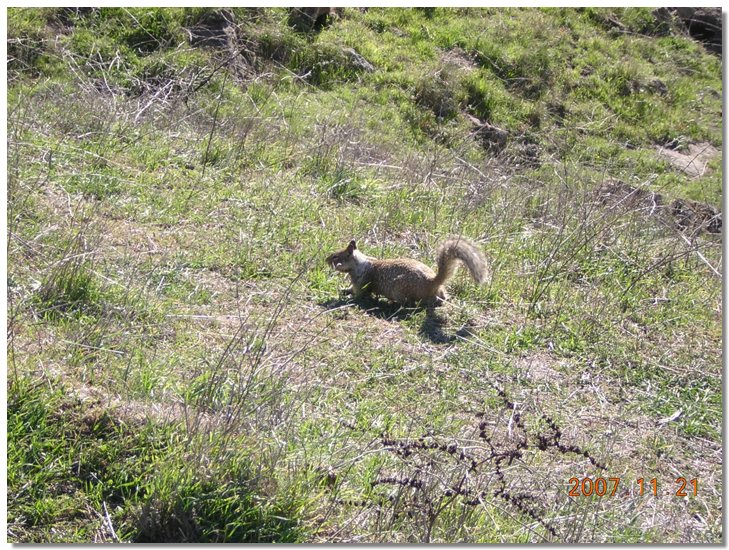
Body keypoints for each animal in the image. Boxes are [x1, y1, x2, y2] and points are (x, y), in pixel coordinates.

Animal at [326, 237, 490, 306]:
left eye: (335, 256)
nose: (326, 260)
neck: (359, 264)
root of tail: (432, 281)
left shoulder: (362, 282)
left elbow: (359, 295)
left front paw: (346, 298)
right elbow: (350, 289)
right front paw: (343, 290)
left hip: (399, 289)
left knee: (412, 303)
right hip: (439, 291)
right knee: (442, 297)